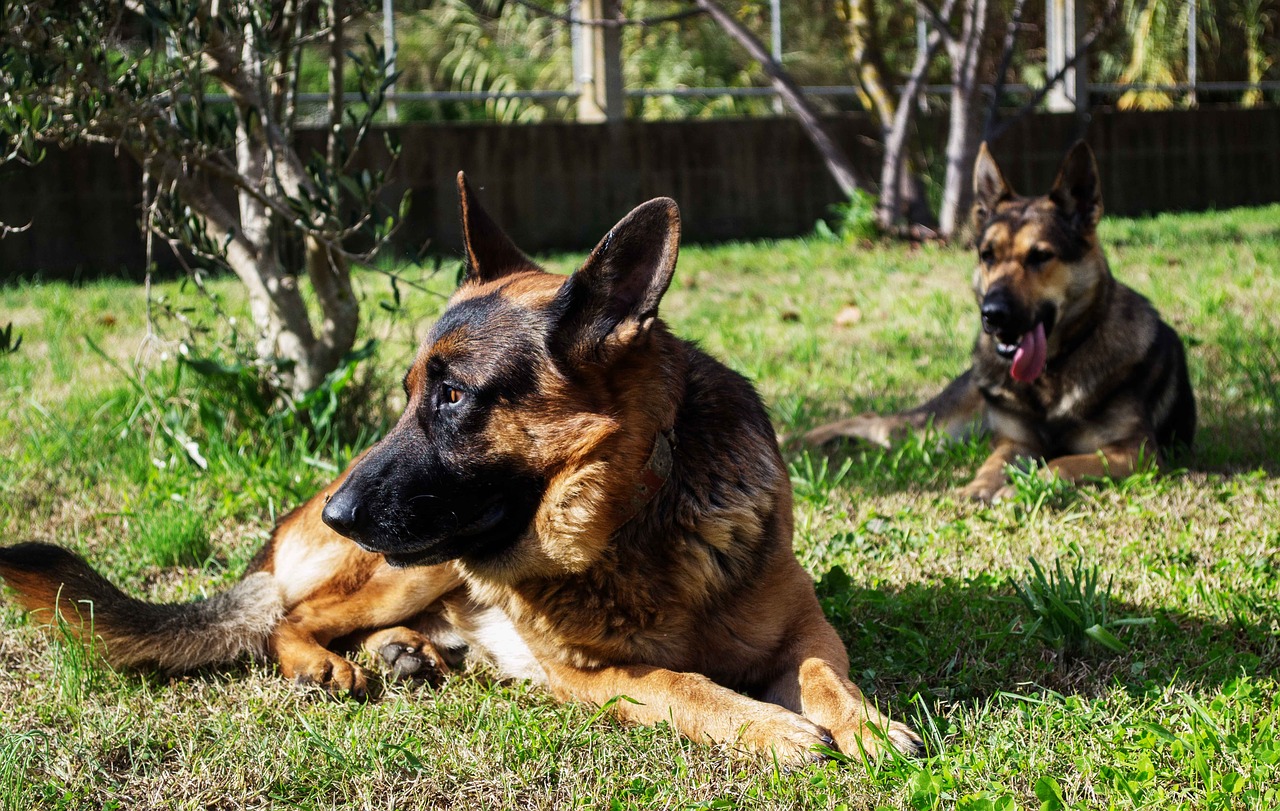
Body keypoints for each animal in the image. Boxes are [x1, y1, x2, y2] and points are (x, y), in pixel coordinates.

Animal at [0, 173, 921, 762]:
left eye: (451, 396)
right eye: (410, 392)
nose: (339, 513)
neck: (637, 515)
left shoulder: (805, 624)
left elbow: (823, 673)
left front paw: (869, 724)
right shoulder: (592, 676)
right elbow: (681, 682)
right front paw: (772, 728)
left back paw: (410, 653)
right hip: (406, 563)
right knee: (284, 619)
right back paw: (329, 662)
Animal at [803, 141, 1192, 501]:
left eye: (1040, 256)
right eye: (987, 255)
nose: (991, 314)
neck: (1053, 372)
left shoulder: (1135, 453)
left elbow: (1062, 462)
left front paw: (1024, 486)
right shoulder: (1014, 443)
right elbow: (993, 463)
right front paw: (979, 486)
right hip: (936, 427)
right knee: (874, 420)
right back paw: (806, 438)